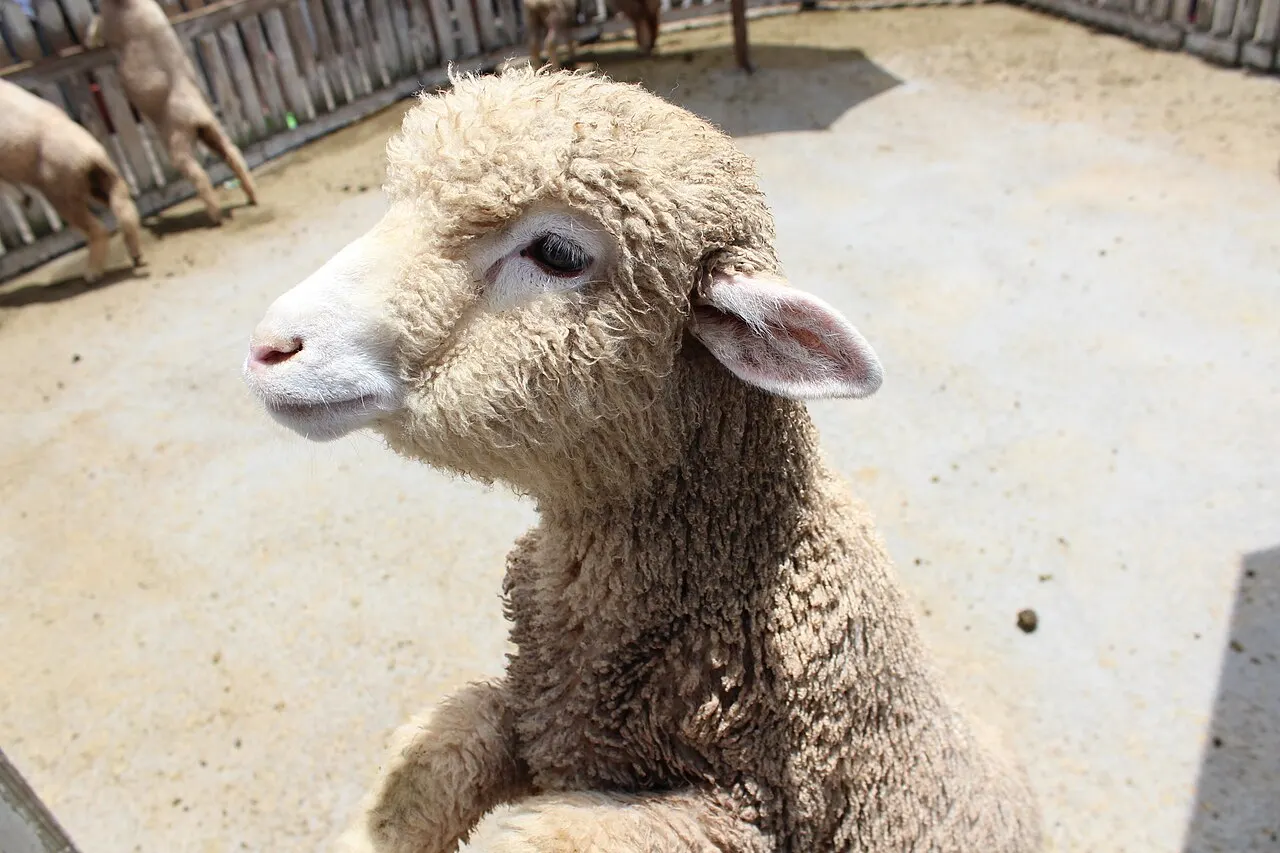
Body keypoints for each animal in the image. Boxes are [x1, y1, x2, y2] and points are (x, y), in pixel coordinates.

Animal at [0, 78, 142, 282]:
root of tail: (92, 155)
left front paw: (23, 199)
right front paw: (23, 199)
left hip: (60, 191)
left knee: (97, 228)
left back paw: (91, 275)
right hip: (102, 181)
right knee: (125, 210)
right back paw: (136, 256)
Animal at [85, 0, 257, 225]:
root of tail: (197, 116)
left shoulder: (109, 23)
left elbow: (97, 24)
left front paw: (88, 40)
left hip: (177, 139)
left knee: (197, 173)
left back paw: (216, 216)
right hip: (213, 132)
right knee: (233, 155)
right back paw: (252, 196)